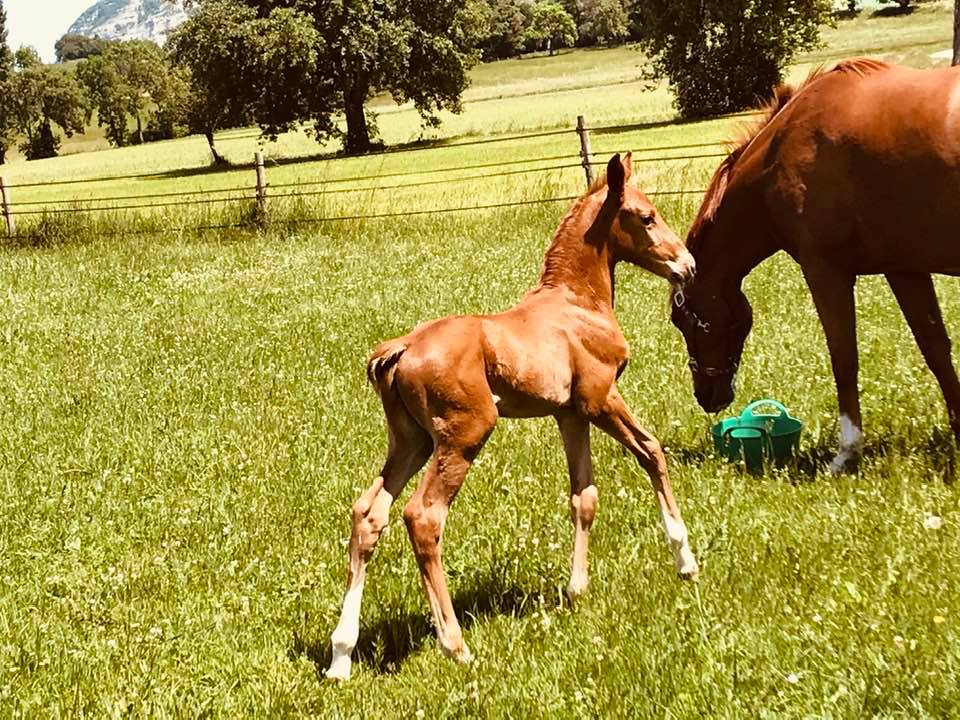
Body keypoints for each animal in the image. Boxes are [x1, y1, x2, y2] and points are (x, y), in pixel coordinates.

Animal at [328, 152, 696, 680]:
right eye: (647, 217)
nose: (687, 265)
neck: (578, 303)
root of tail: (401, 348)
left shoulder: (569, 414)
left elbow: (584, 497)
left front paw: (577, 590)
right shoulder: (601, 399)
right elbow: (652, 451)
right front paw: (685, 558)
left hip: (412, 441)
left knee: (368, 514)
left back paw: (341, 655)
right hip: (462, 436)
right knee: (423, 517)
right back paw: (455, 645)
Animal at [672, 57, 960, 472]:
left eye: (682, 320)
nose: (708, 396)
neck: (784, 148)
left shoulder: (825, 271)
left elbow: (843, 356)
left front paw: (847, 451)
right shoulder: (905, 269)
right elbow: (935, 347)